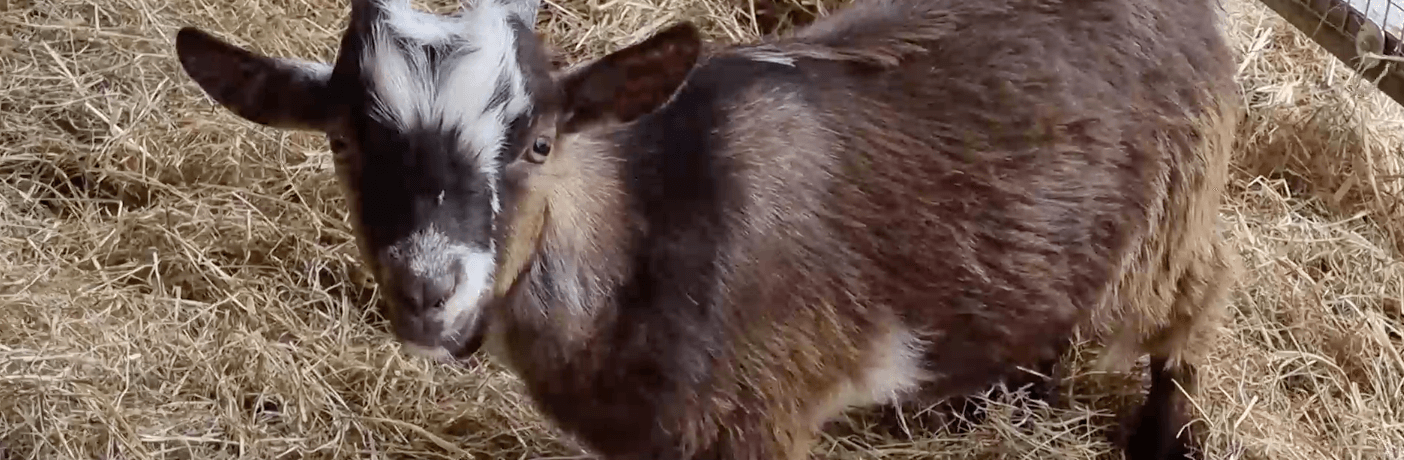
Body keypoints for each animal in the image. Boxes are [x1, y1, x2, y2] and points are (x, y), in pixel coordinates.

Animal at [172, 0, 1241, 457]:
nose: (430, 285)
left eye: (539, 143)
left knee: (1199, 301)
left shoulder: (755, 422)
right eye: (344, 139)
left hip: (1172, 223)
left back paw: (1167, 434)